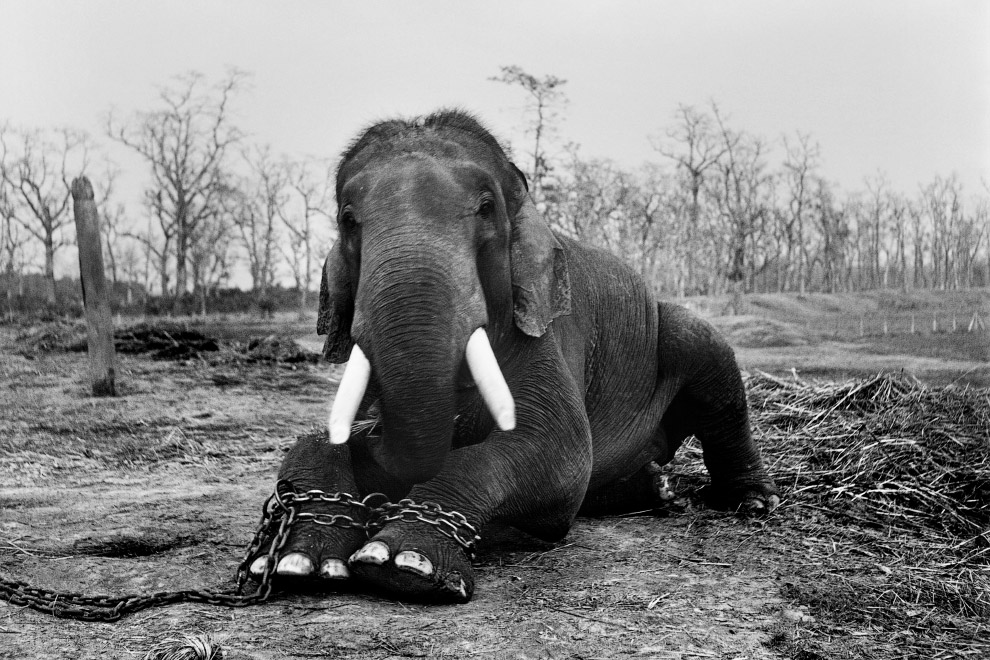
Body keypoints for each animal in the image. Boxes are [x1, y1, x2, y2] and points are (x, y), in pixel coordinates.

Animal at [248, 109, 784, 604]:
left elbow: (558, 450)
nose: (374, 437)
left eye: (486, 207)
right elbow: (316, 442)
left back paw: (753, 502)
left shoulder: (546, 334)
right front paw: (299, 562)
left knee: (709, 364)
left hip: (678, 337)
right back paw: (657, 488)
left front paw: (404, 564)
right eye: (347, 219)